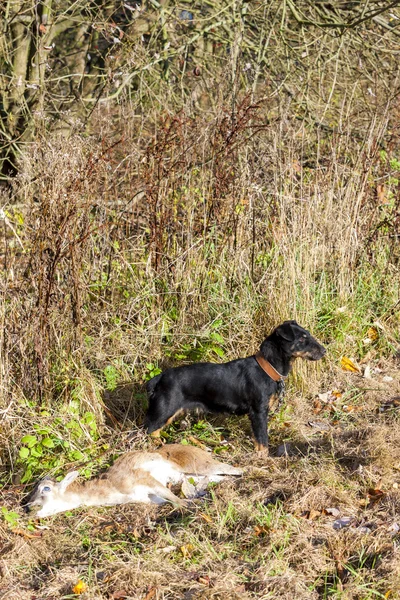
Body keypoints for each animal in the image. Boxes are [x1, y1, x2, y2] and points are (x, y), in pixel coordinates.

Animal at [26, 442, 242, 516]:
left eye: (45, 488)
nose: (28, 507)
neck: (114, 489)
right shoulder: (151, 498)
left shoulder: (144, 479)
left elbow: (177, 501)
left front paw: (191, 506)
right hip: (195, 476)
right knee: (219, 477)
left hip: (201, 465)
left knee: (238, 469)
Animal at [145, 322, 326, 452]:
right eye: (301, 339)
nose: (324, 351)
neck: (267, 368)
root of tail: (160, 377)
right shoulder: (258, 413)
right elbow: (262, 440)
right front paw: (263, 459)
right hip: (163, 411)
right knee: (148, 431)